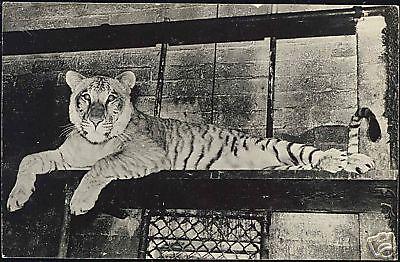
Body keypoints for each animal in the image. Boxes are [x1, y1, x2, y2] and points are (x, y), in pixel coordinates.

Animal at [6, 70, 382, 215]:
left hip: (282, 147)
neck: (92, 143)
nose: (96, 119)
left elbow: (102, 164)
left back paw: (354, 161)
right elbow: (29, 159)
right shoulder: (66, 159)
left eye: (112, 97)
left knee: (319, 154)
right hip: (280, 164)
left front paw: (81, 201)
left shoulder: (147, 153)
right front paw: (15, 198)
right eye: (85, 97)